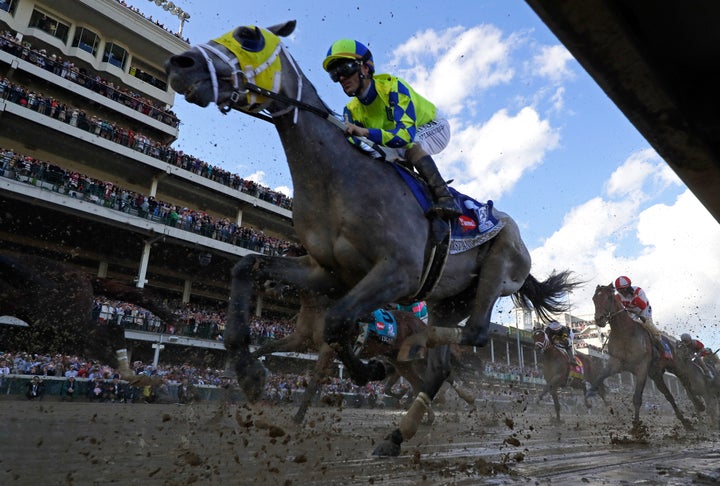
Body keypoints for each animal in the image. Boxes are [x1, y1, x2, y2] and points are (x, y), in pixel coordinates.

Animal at [165, 19, 580, 460]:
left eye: (249, 35)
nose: (181, 64)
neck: (336, 179)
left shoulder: (397, 273)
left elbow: (336, 322)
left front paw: (368, 367)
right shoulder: (325, 272)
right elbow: (248, 267)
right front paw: (248, 371)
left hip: (498, 270)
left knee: (475, 335)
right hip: (448, 301)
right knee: (441, 362)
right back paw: (398, 431)